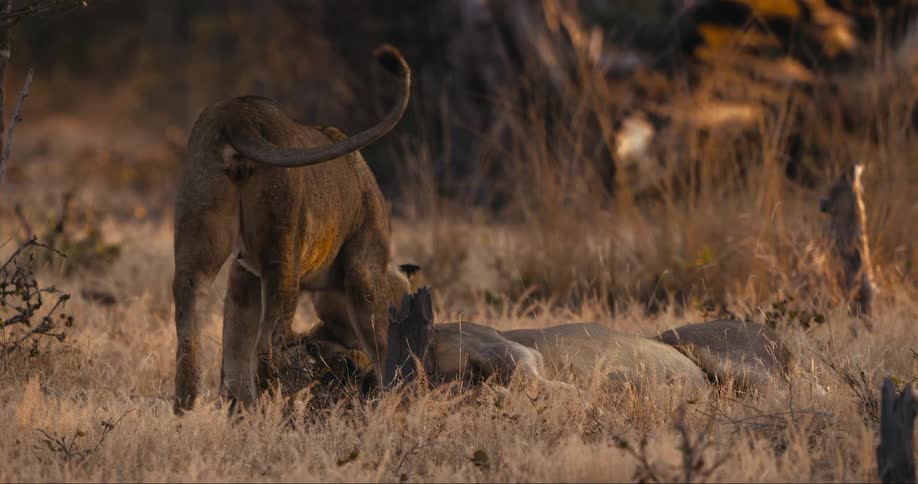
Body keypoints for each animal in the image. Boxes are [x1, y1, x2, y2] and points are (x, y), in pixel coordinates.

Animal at [172, 45, 411, 413]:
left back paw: (188, 412)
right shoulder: (365, 267)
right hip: (284, 254)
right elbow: (382, 345)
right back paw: (274, 408)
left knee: (191, 339)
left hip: (197, 242)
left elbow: (233, 348)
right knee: (267, 346)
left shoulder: (243, 276)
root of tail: (238, 115)